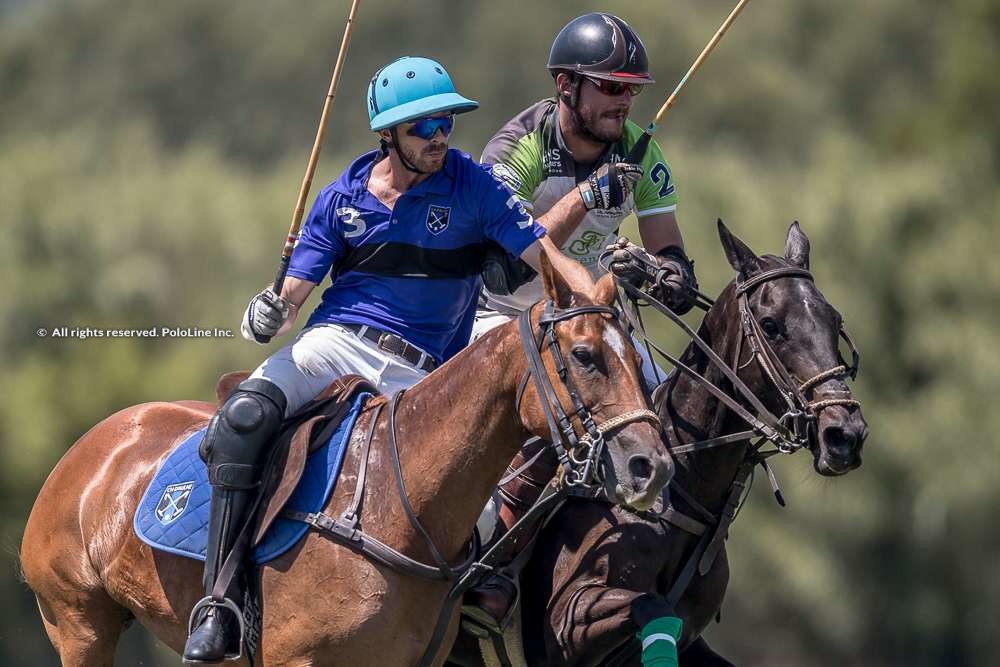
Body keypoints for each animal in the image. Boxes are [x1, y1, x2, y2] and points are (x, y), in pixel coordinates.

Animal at [21, 256, 672, 667]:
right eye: (585, 356)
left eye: (639, 364)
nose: (652, 468)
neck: (399, 508)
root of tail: (92, 444)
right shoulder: (298, 661)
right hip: (78, 623)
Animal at [460, 222, 868, 664]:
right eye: (771, 324)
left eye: (834, 321)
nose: (845, 434)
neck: (683, 492)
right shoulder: (564, 622)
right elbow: (650, 606)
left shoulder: (689, 635)